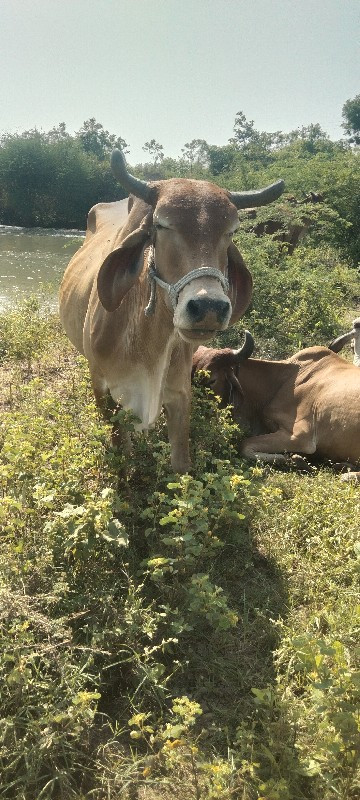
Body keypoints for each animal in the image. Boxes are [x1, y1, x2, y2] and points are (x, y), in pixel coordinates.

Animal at [59, 148, 284, 472]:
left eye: (232, 231)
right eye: (161, 224)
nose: (209, 306)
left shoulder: (179, 390)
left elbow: (180, 465)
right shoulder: (102, 387)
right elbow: (122, 453)